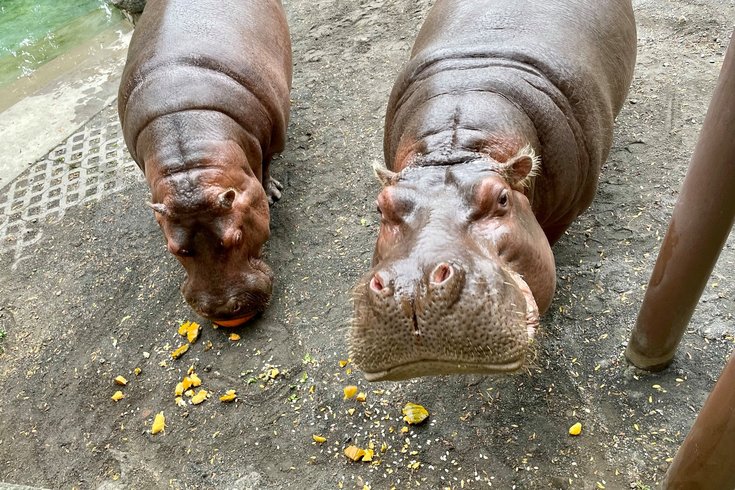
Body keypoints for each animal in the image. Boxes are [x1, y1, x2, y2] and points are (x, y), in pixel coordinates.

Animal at [118, 0, 292, 326]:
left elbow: (265, 167)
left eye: (237, 235)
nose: (221, 309)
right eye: (174, 247)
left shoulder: (272, 141)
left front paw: (272, 194)